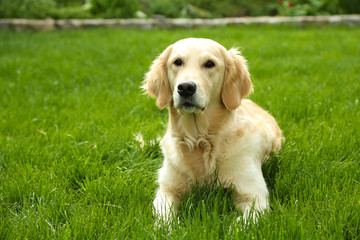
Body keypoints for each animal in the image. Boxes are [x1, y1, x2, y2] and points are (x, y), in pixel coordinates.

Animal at [142, 37, 282, 223]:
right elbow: (165, 217)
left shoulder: (254, 195)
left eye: (210, 64)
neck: (201, 140)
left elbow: (242, 222)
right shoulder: (166, 190)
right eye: (177, 62)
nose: (185, 88)